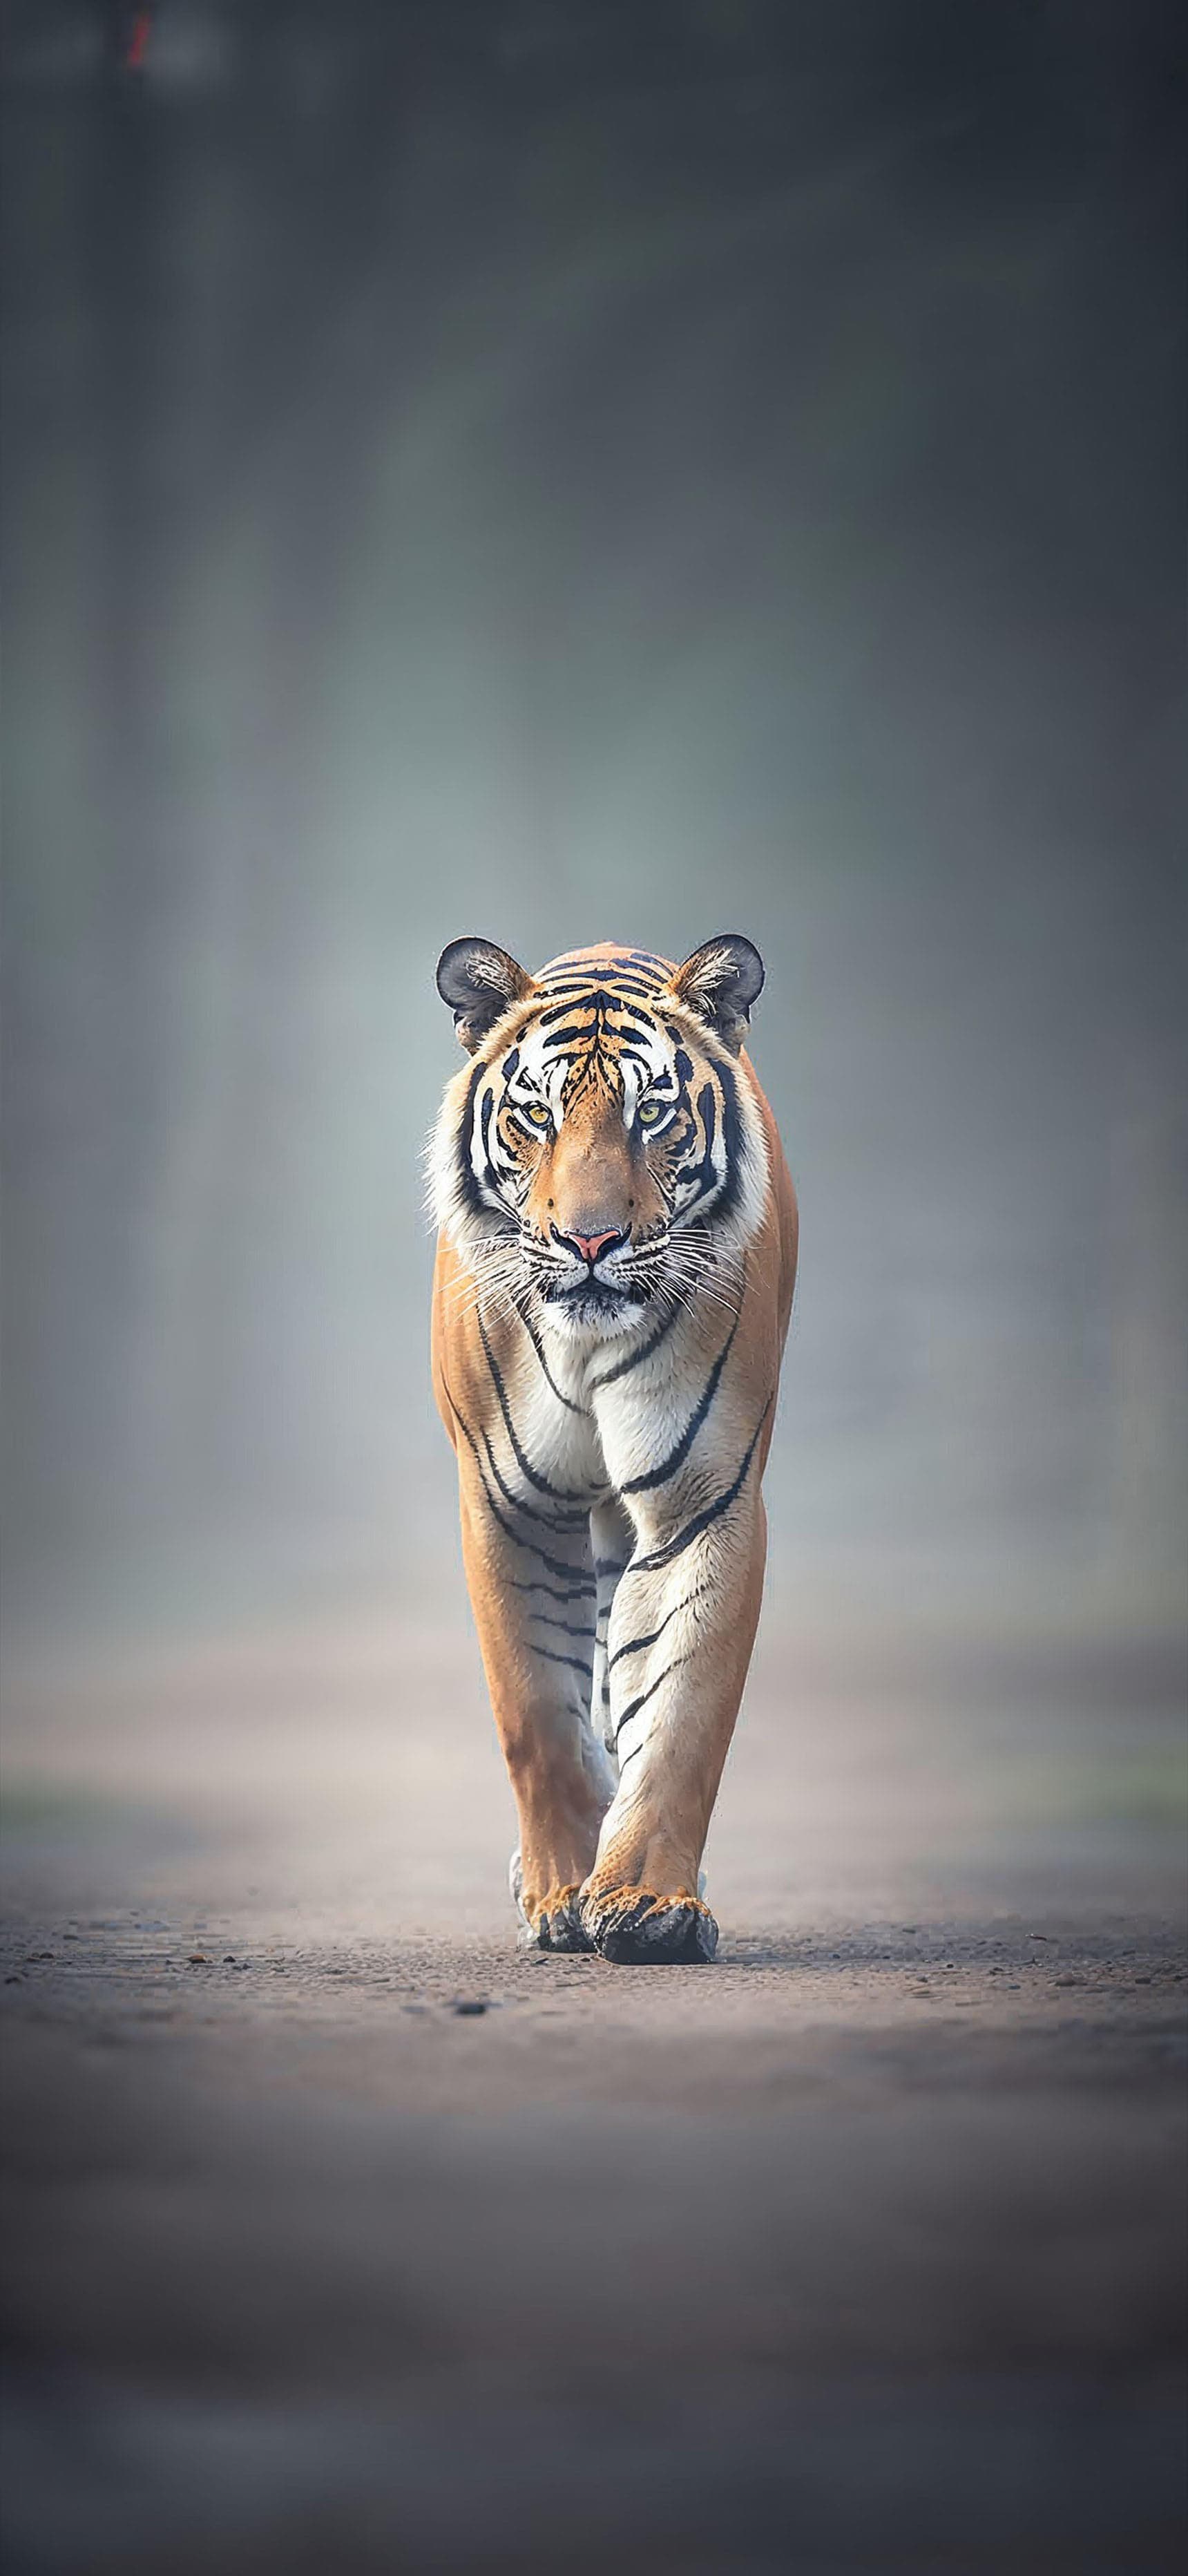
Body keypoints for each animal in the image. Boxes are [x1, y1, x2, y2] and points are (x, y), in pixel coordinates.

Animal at [430, 935, 797, 1962]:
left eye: (652, 1114)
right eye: (537, 1115)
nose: (589, 1241)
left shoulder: (703, 1497)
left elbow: (679, 1709)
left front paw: (645, 1901)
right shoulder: (508, 1502)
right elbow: (536, 1713)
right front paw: (560, 1893)